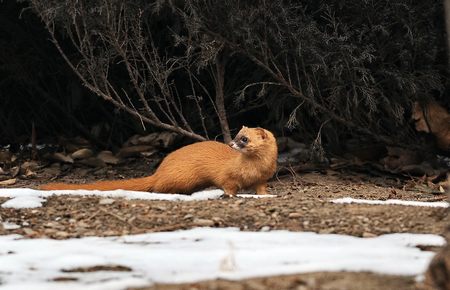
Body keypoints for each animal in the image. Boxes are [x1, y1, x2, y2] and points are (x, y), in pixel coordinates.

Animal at [40, 126, 278, 196]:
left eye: (244, 138)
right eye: (237, 135)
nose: (231, 143)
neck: (254, 169)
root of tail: (159, 170)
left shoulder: (263, 178)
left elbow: (261, 188)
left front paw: (266, 195)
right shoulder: (226, 175)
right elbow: (227, 184)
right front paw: (229, 195)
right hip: (181, 177)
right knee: (159, 187)